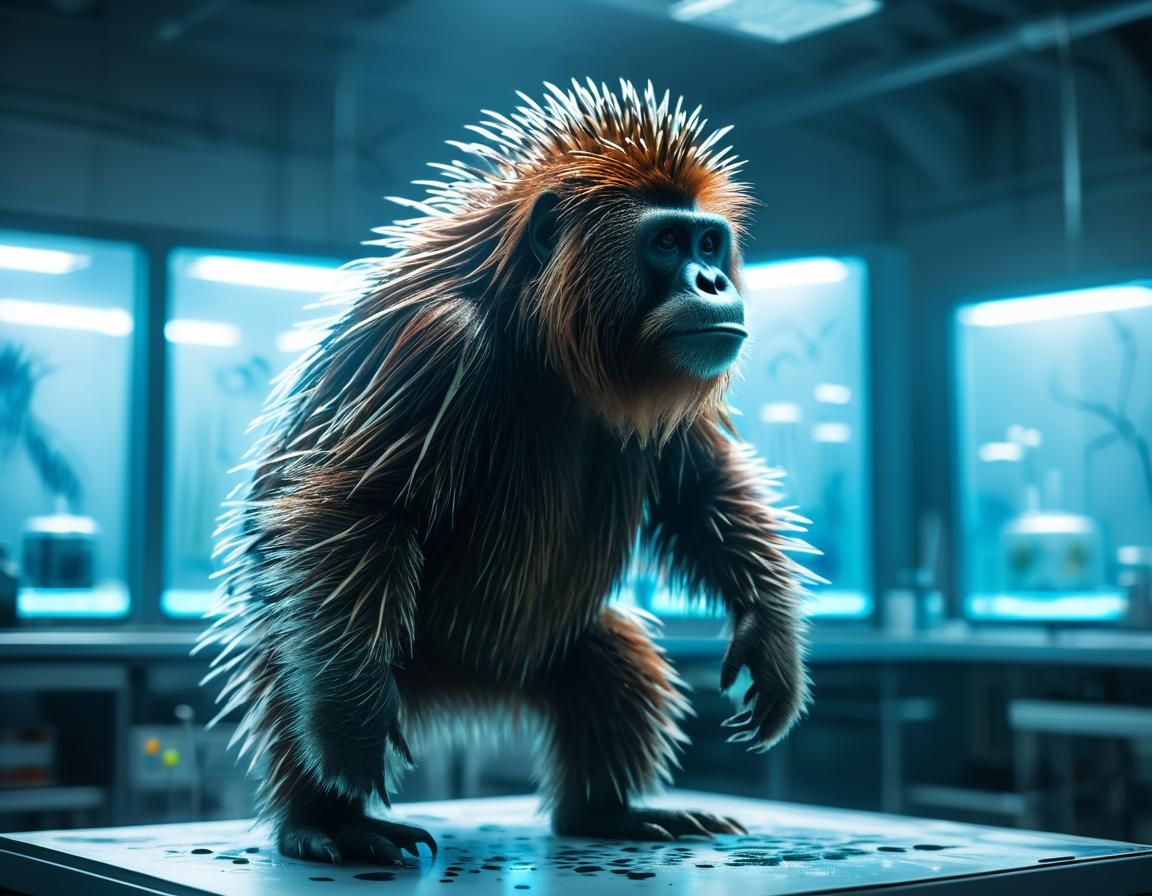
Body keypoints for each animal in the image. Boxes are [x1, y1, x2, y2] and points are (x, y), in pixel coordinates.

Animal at [200, 79, 816, 865]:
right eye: (667, 242)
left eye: (708, 242)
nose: (710, 279)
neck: (544, 335)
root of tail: (472, 686)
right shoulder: (435, 344)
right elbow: (350, 510)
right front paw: (348, 733)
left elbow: (701, 490)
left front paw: (771, 641)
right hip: (388, 657)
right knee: (305, 648)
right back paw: (325, 818)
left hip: (538, 652)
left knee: (612, 658)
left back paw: (607, 813)